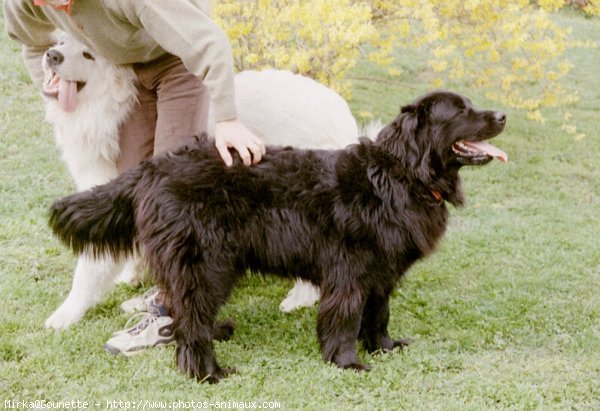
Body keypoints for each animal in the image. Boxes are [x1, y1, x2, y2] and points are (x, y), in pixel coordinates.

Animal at [49, 90, 506, 384]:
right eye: (460, 111)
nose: (502, 115)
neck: (399, 175)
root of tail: (155, 167)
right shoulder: (349, 272)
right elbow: (344, 320)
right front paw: (347, 363)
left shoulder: (382, 272)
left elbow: (379, 315)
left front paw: (384, 347)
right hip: (207, 264)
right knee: (191, 321)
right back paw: (208, 373)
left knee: (185, 312)